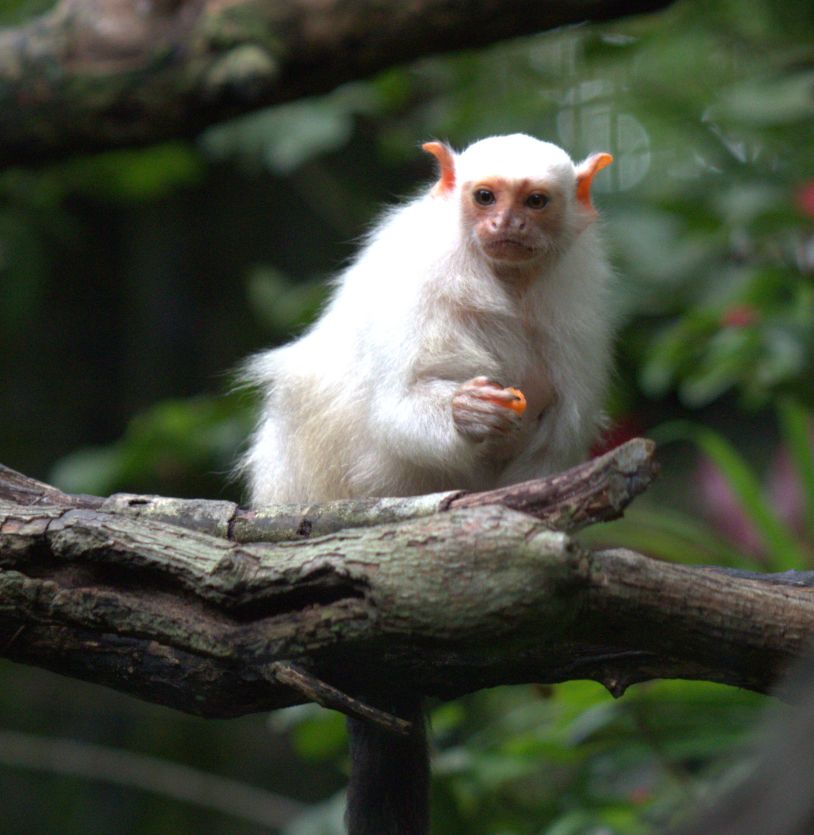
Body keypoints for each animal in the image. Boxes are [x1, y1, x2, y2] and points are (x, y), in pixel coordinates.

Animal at [241, 133, 615, 834]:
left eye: (536, 201)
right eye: (485, 196)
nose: (507, 225)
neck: (505, 282)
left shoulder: (577, 313)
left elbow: (555, 442)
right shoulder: (416, 285)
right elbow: (397, 407)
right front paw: (468, 416)